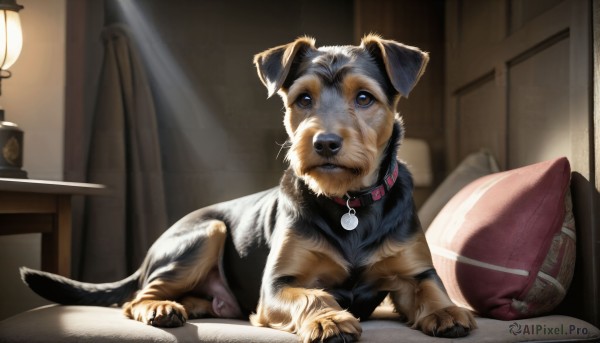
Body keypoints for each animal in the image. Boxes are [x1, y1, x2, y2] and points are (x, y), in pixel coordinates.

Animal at [21, 36, 476, 342]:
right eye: (303, 99)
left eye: (364, 98)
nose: (324, 143)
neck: (348, 200)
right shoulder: (276, 286)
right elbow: (313, 295)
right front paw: (330, 318)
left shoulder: (414, 270)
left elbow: (429, 287)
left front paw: (448, 310)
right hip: (206, 232)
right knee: (136, 296)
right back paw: (162, 307)